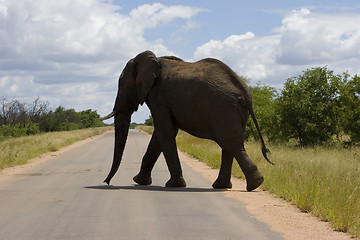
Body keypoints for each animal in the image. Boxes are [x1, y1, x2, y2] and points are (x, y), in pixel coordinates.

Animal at [99, 50, 272, 191]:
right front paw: (139, 181)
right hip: (233, 111)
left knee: (230, 143)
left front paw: (173, 185)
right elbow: (159, 136)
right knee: (229, 145)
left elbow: (165, 132)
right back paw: (225, 186)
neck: (153, 60)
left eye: (122, 85)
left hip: (224, 109)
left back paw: (253, 184)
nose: (106, 182)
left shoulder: (159, 97)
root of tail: (246, 93)